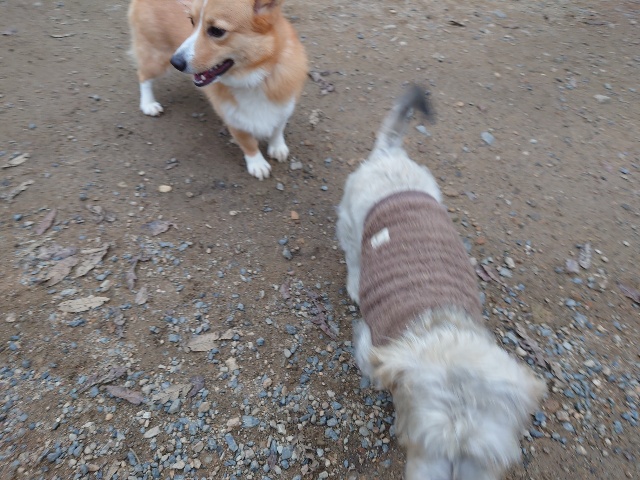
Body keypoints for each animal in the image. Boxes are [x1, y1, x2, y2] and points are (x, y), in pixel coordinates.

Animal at [128, 0, 308, 179]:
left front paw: (277, 147)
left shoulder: (284, 105)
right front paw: (257, 163)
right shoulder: (234, 119)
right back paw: (148, 104)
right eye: (192, 21)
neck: (254, 78)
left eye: (216, 31)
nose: (175, 62)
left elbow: (278, 128)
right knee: (143, 76)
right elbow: (248, 143)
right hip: (156, 58)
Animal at [336, 86, 546, 480]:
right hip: (351, 223)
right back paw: (355, 282)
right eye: (427, 444)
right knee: (353, 254)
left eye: (486, 457)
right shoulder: (373, 345)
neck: (439, 323)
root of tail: (389, 154)